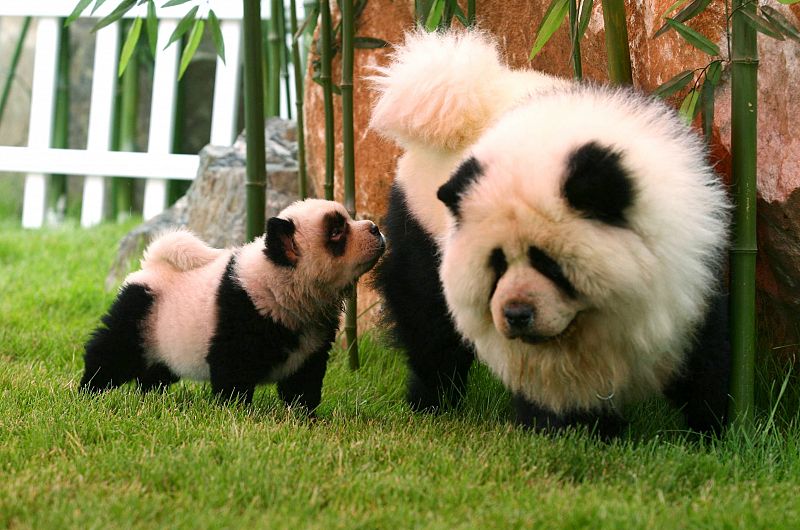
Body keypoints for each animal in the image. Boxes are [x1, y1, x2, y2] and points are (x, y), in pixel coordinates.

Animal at [80, 199, 386, 411]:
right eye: (336, 232)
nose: (375, 228)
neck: (281, 282)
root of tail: (153, 265)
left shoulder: (312, 341)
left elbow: (303, 380)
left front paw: (304, 416)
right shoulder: (243, 313)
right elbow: (232, 371)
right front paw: (235, 412)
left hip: (164, 336)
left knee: (156, 372)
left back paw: (149, 396)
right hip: (140, 312)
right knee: (112, 352)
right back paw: (90, 392)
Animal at [370, 30, 730, 437]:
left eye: (549, 263)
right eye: (496, 265)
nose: (517, 314)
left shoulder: (689, 262)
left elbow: (704, 354)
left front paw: (709, 431)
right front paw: (571, 430)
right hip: (421, 223)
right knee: (426, 321)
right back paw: (431, 402)